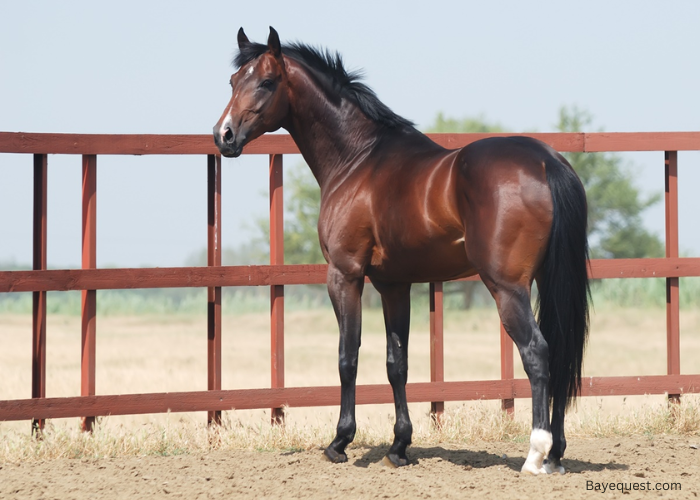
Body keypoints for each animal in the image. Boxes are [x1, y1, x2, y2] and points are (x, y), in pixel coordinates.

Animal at [213, 27, 590, 475]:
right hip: (546, 281)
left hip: (507, 287)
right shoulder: (394, 285)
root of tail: (548, 162)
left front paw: (340, 441)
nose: (223, 136)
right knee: (561, 350)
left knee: (537, 352)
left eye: (267, 82)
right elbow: (398, 364)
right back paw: (557, 453)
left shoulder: (345, 275)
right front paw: (399, 446)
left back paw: (535, 453)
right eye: (233, 81)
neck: (358, 158)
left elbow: (347, 357)